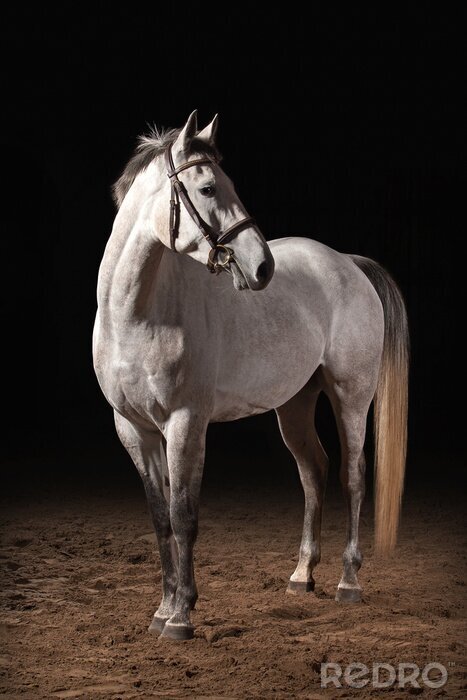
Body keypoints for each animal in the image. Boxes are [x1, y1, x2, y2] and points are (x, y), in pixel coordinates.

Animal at [93, 110, 409, 641]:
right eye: (206, 188)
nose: (262, 267)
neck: (137, 315)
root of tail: (348, 263)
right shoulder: (133, 429)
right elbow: (160, 519)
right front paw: (162, 608)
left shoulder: (186, 423)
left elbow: (184, 516)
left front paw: (181, 616)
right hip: (295, 404)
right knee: (314, 471)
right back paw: (302, 575)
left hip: (352, 397)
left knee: (353, 476)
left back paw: (348, 582)